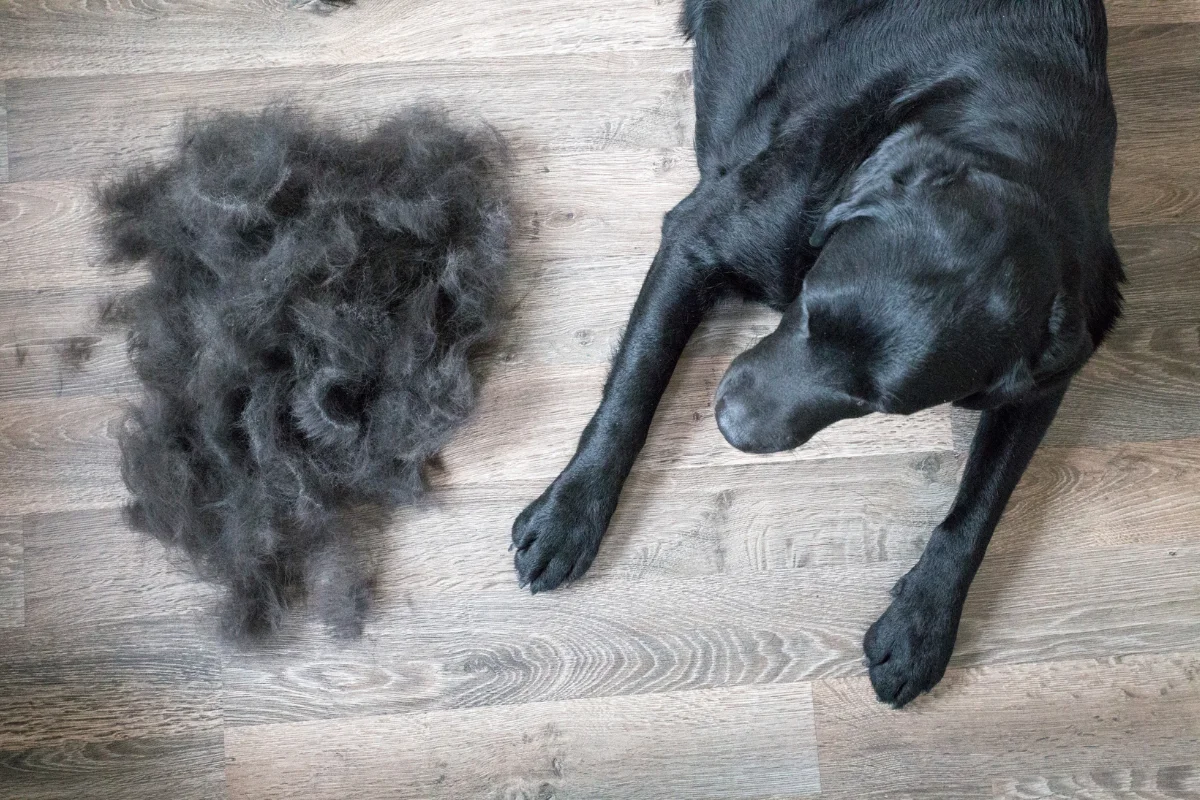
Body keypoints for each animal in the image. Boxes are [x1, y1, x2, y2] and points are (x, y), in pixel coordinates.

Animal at [508, 0, 1123, 705]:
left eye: (877, 402)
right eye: (807, 307)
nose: (731, 425)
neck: (1018, 135)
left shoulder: (1050, 368)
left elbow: (980, 507)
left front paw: (923, 621)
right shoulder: (696, 240)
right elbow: (635, 386)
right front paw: (571, 512)